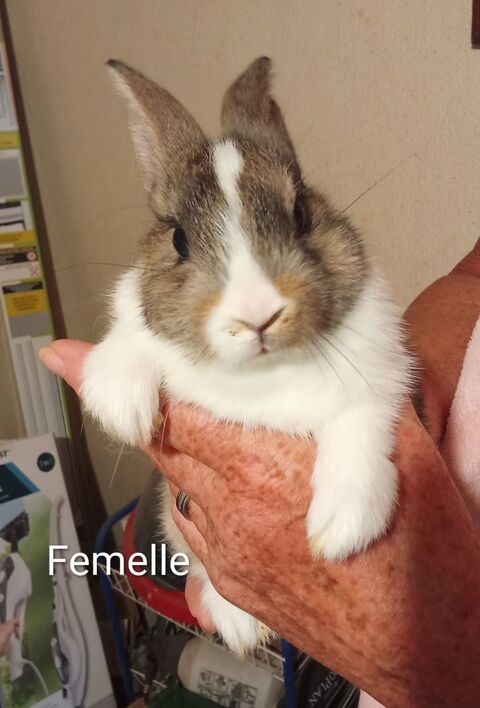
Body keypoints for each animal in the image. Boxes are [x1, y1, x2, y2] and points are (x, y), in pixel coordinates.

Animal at [82, 56, 412, 654]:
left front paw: (341, 530)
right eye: (179, 240)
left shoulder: (382, 378)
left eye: (301, 213)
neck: (262, 372)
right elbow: (129, 342)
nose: (258, 314)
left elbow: (358, 427)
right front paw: (123, 409)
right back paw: (237, 623)